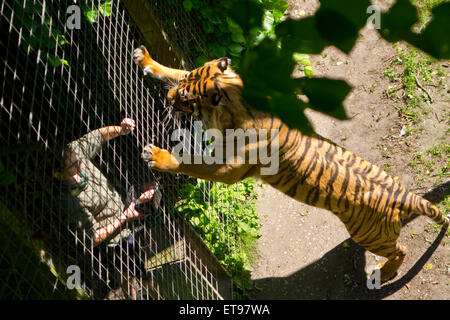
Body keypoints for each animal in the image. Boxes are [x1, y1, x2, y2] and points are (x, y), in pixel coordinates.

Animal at [134, 45, 450, 282]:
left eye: (185, 98)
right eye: (184, 85)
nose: (168, 97)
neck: (234, 103)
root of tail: (404, 194)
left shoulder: (229, 168)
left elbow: (191, 162)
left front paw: (158, 156)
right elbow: (173, 69)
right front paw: (146, 60)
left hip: (370, 235)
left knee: (401, 250)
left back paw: (384, 273)